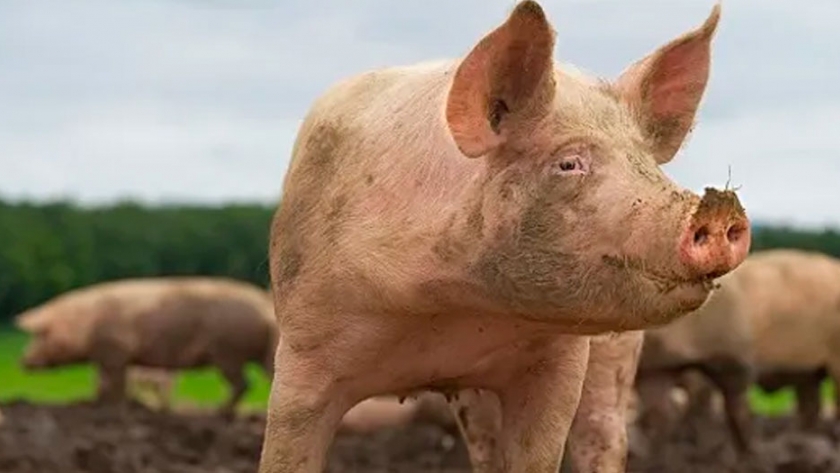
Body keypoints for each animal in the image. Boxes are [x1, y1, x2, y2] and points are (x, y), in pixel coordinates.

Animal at [15, 276, 279, 416]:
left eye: (41, 335)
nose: (22, 361)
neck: (84, 324)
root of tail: (264, 307)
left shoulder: (115, 351)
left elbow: (114, 384)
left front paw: (115, 410)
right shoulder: (106, 357)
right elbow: (103, 384)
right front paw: (98, 406)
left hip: (228, 351)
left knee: (242, 383)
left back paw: (217, 413)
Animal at [260, 2, 750, 472]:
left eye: (647, 163)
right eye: (568, 163)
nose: (720, 205)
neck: (450, 312)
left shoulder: (558, 365)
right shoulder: (302, 351)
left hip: (618, 355)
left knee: (602, 435)